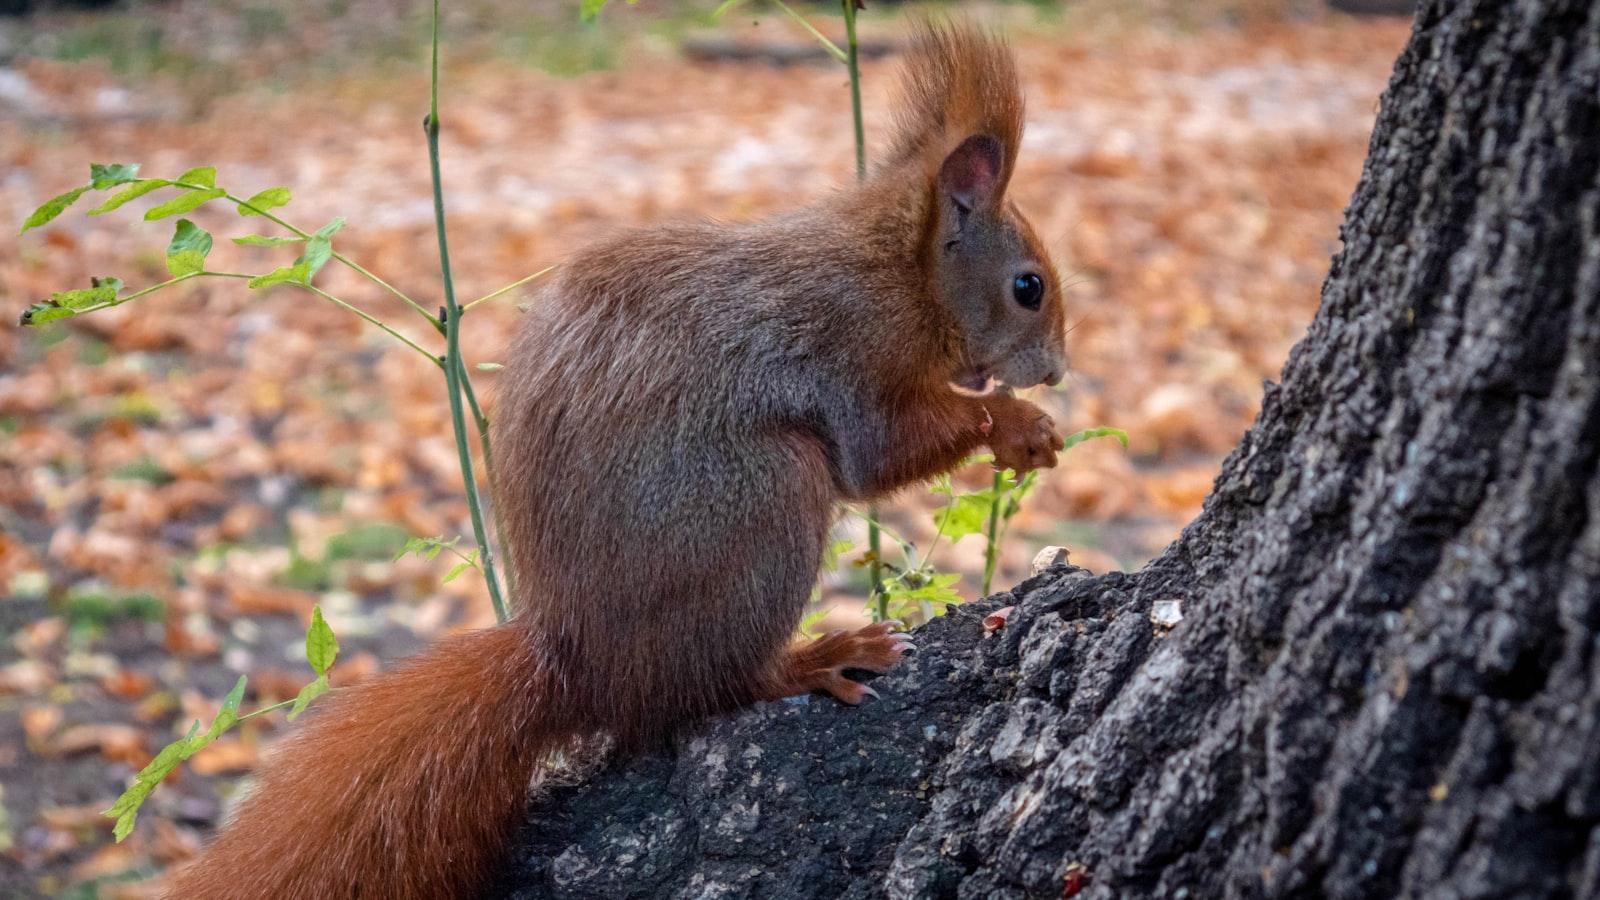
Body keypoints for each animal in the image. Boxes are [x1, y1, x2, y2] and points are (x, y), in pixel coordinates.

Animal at [168, 22, 1068, 896]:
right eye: (1028, 287)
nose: (1058, 369)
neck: (900, 267)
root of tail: (581, 665)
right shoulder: (851, 346)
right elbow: (876, 455)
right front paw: (1017, 423)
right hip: (763, 500)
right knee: (709, 689)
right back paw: (813, 659)